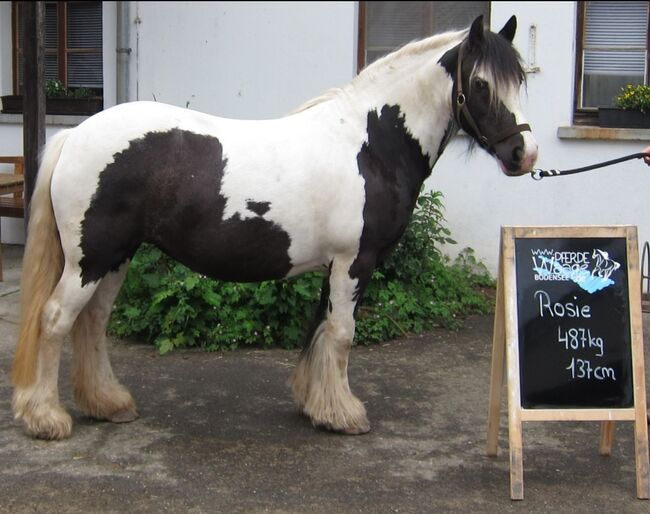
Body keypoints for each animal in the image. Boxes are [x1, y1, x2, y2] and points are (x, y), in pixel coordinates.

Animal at [10, 17, 536, 440]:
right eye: (482, 84)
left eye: (521, 80)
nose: (523, 155)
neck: (369, 145)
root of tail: (75, 135)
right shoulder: (354, 262)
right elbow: (342, 334)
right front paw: (345, 416)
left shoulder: (335, 266)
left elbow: (321, 329)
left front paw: (317, 406)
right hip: (91, 260)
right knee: (56, 320)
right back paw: (46, 418)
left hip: (115, 256)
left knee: (92, 322)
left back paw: (108, 403)